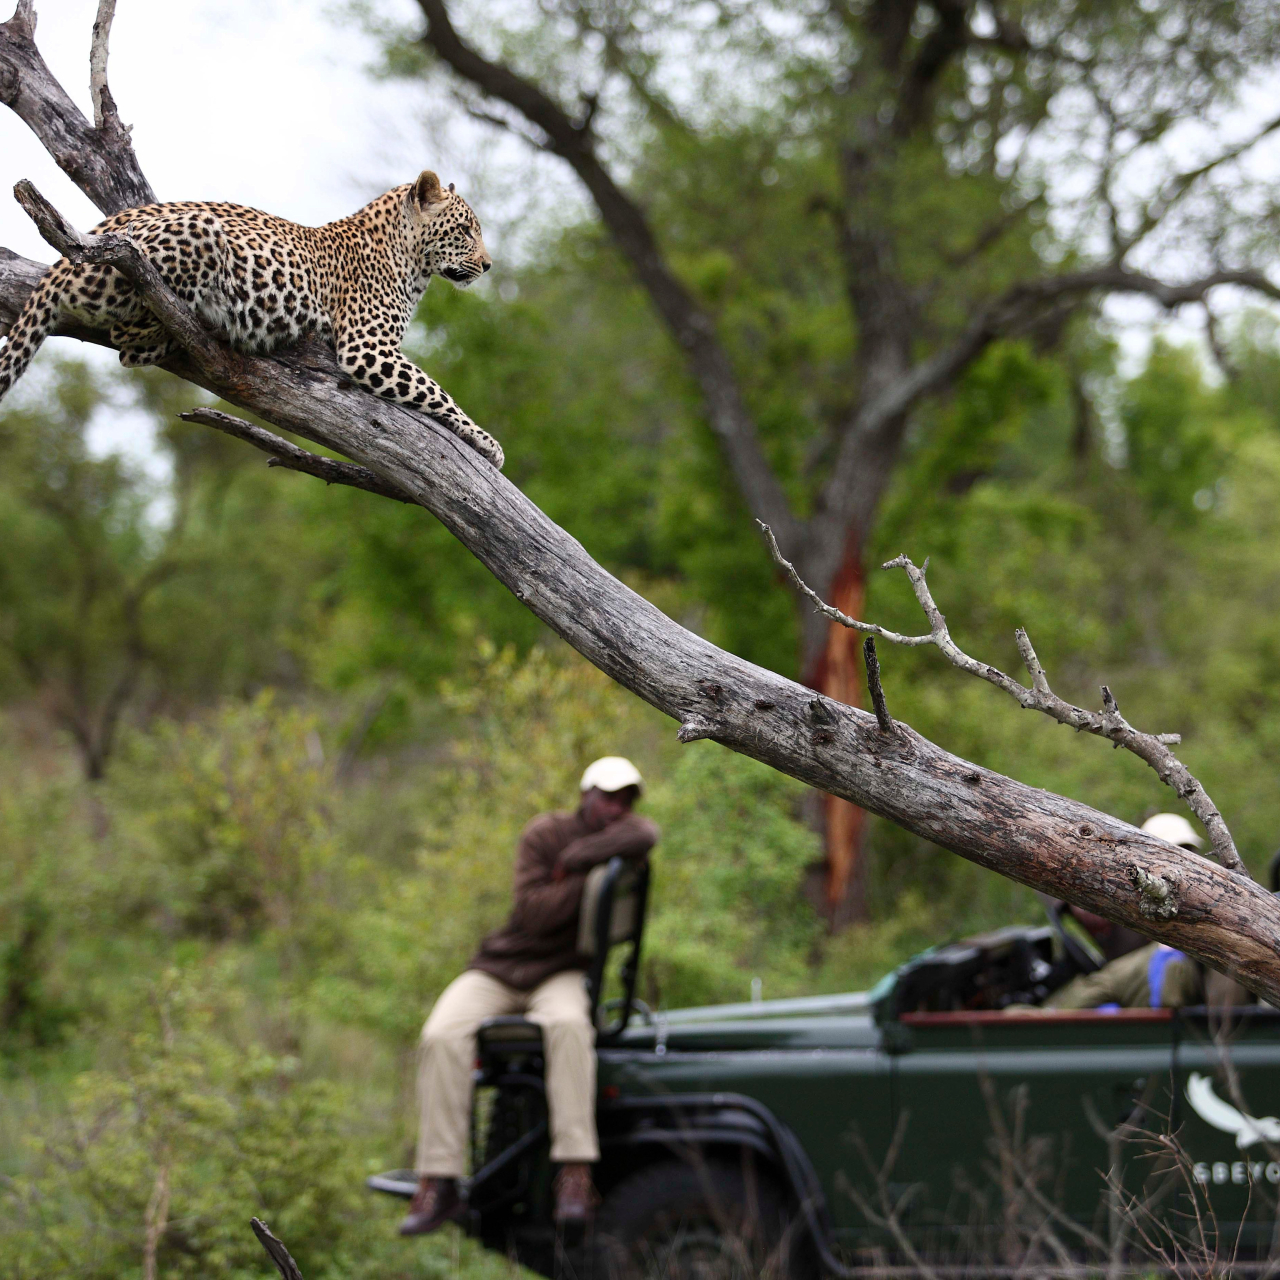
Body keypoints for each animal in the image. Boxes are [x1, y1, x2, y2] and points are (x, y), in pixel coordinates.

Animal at [0, 170, 504, 467]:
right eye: (465, 230)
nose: (487, 266)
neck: (412, 263)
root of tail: (64, 259)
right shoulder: (367, 347)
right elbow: (437, 390)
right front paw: (488, 443)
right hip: (195, 234)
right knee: (131, 335)